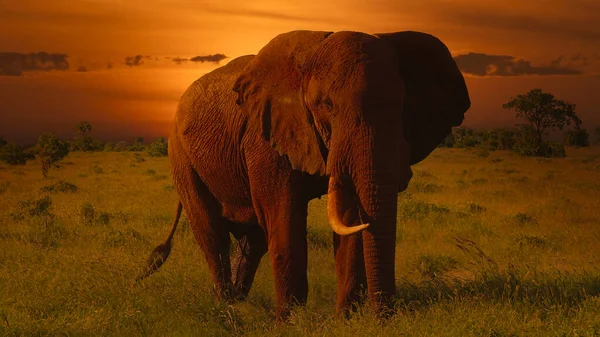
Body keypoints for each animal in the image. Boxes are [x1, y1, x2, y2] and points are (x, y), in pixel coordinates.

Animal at [138, 28, 472, 318]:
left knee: (253, 242)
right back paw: (228, 308)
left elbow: (349, 217)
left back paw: (239, 303)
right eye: (327, 105)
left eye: (402, 106)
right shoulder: (265, 137)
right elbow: (285, 218)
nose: (386, 319)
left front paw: (344, 320)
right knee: (212, 234)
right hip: (181, 156)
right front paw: (289, 322)